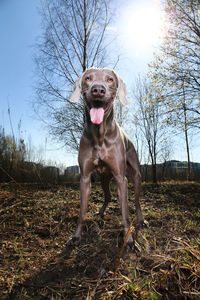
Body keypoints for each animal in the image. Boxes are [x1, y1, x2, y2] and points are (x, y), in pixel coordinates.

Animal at [69, 68, 145, 248]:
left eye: (110, 79)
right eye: (88, 78)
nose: (98, 90)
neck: (99, 135)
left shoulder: (121, 178)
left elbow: (125, 214)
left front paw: (129, 240)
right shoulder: (85, 178)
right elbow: (81, 213)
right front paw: (76, 236)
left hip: (135, 175)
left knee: (137, 202)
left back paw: (141, 220)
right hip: (103, 178)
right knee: (108, 196)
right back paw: (102, 212)